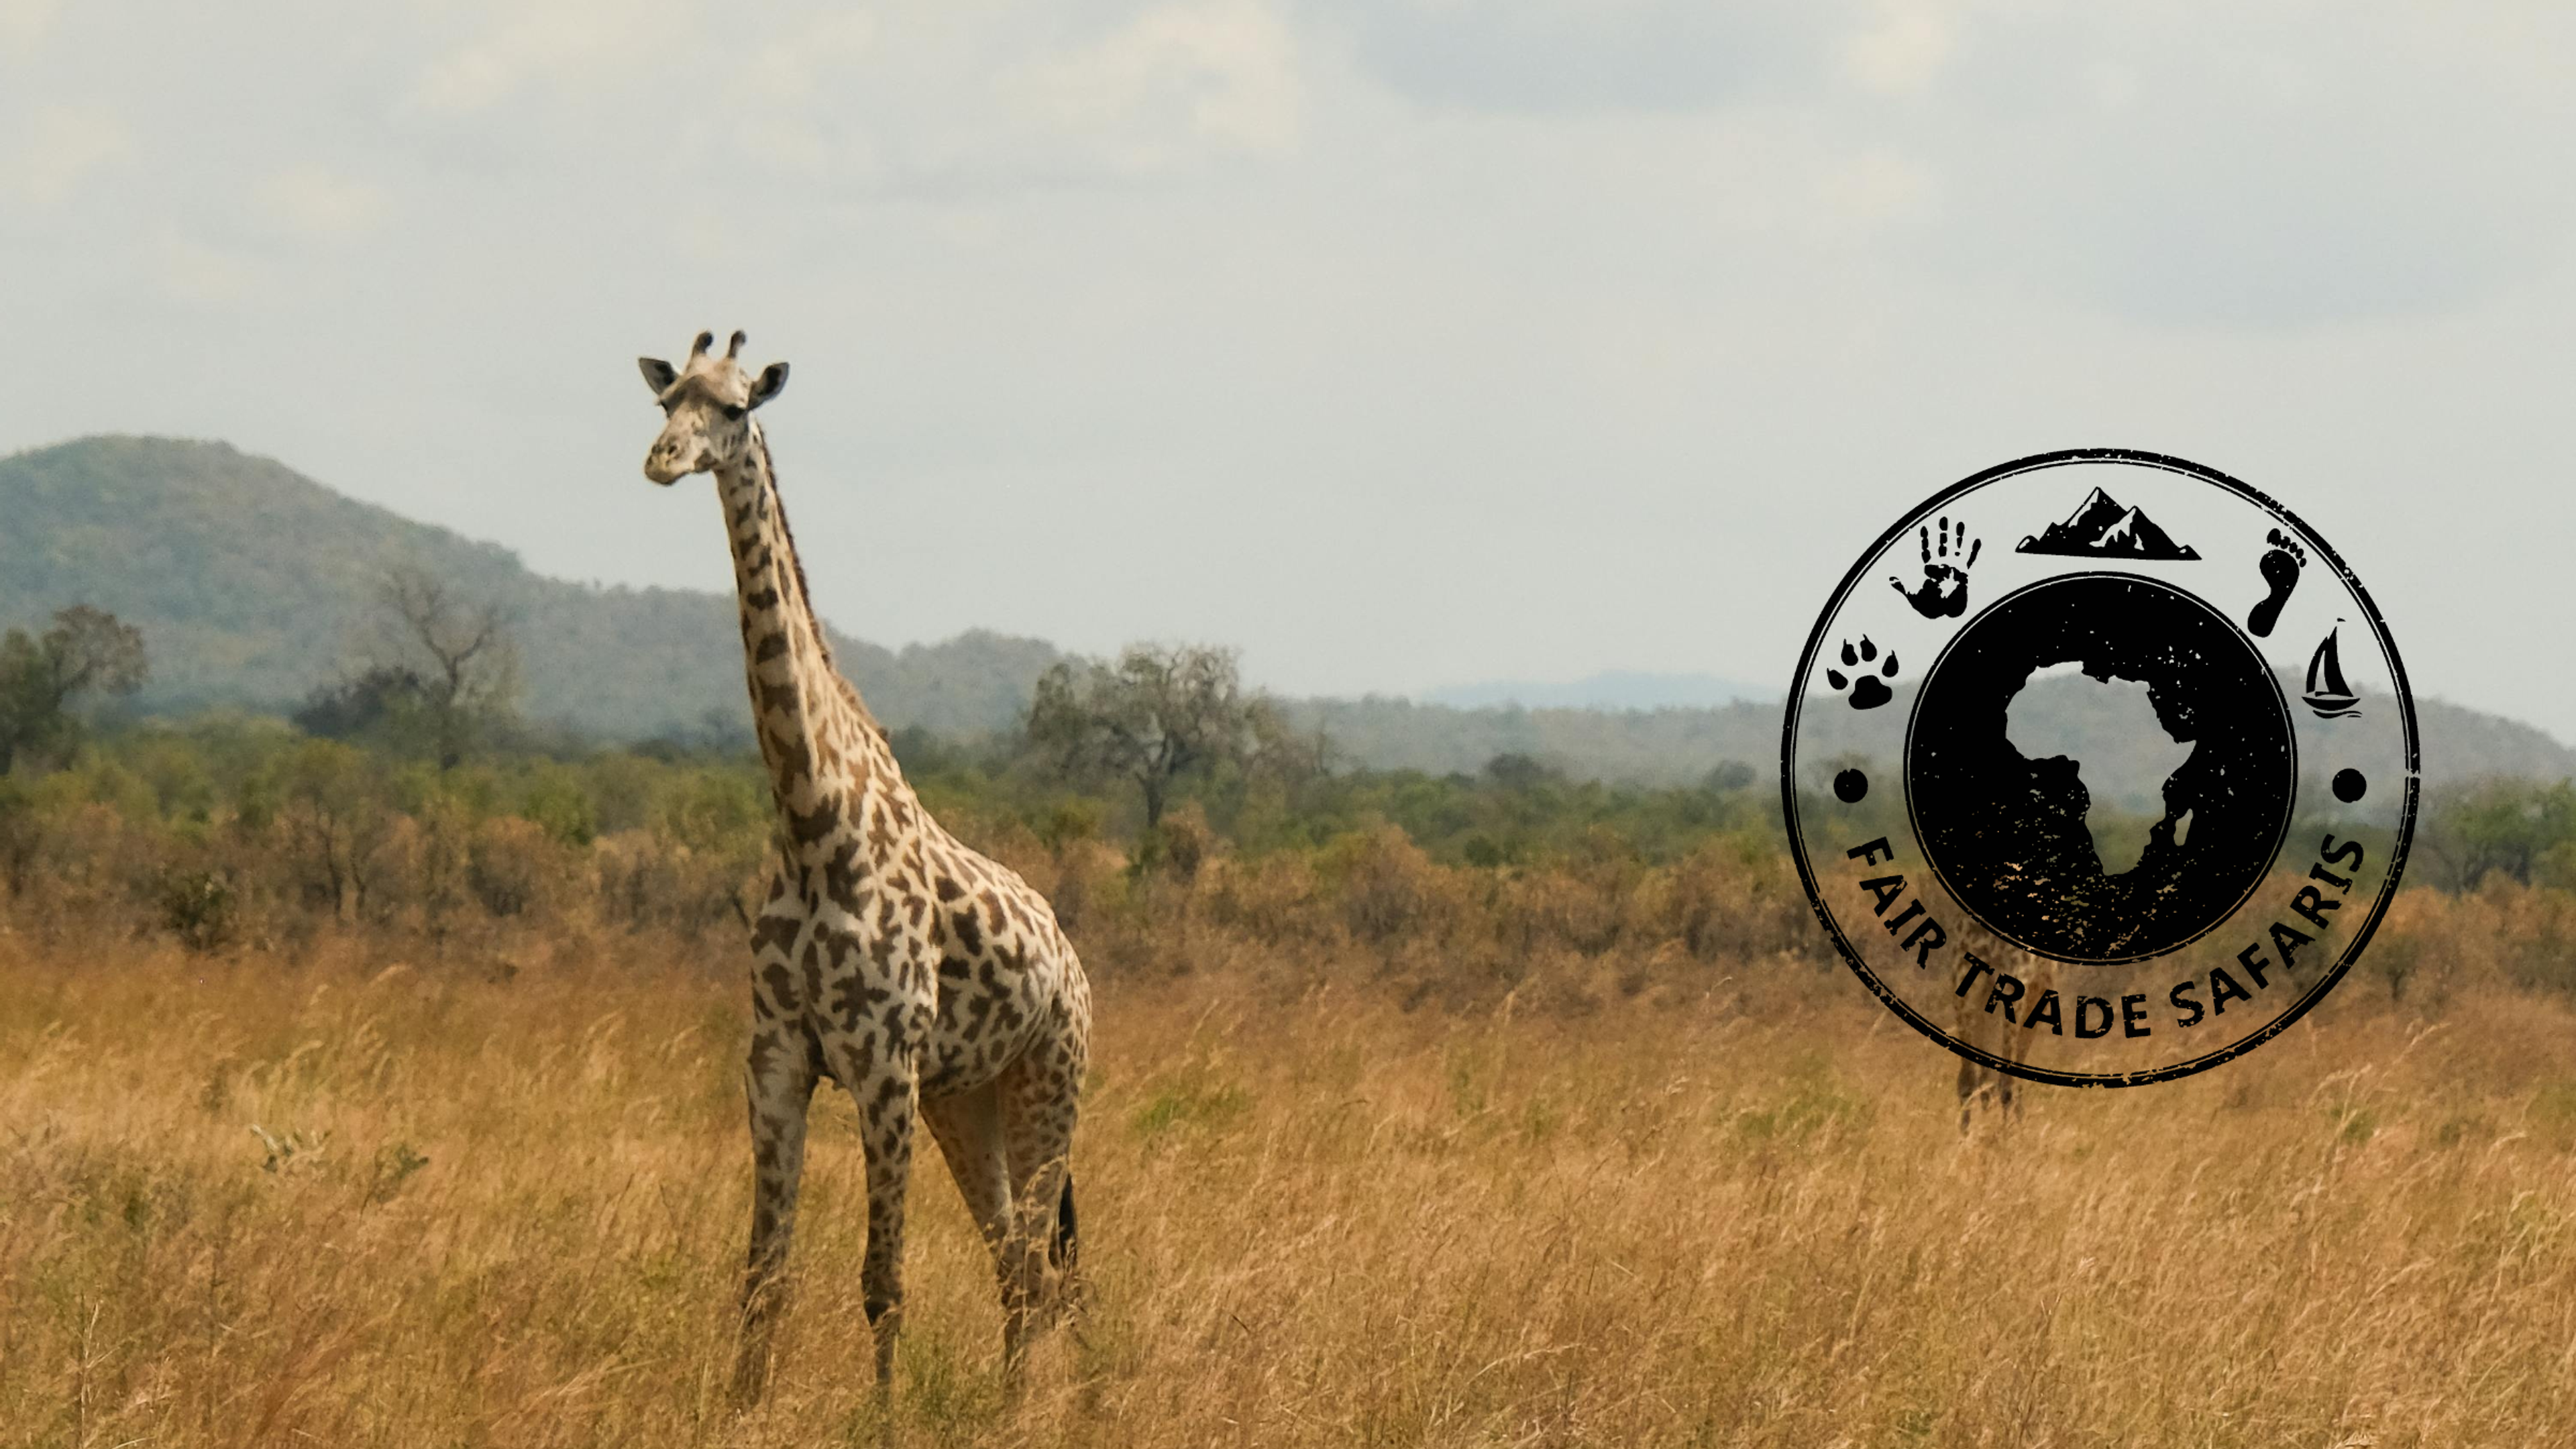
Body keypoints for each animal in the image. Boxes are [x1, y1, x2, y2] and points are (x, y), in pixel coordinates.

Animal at [637, 330, 1094, 1402]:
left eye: (734, 408)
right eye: (668, 400)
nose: (663, 460)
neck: (812, 822)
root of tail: (1073, 962)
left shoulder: (883, 1065)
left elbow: (882, 1282)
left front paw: (880, 1417)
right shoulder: (776, 1059)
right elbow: (763, 1275)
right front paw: (739, 1410)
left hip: (1049, 1083)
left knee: (1043, 1274)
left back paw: (1027, 1411)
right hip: (965, 1099)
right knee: (1015, 1266)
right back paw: (1008, 1408)